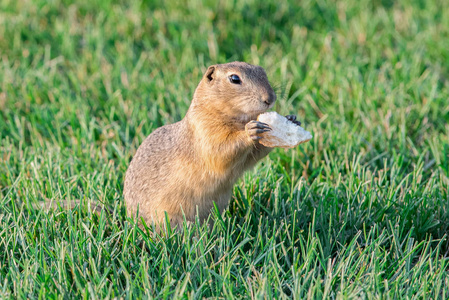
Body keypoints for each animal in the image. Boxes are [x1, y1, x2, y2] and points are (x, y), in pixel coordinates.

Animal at [124, 61, 300, 230]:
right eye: (234, 79)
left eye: (262, 71)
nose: (270, 98)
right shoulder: (205, 129)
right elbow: (220, 151)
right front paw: (249, 131)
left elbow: (252, 156)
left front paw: (291, 119)